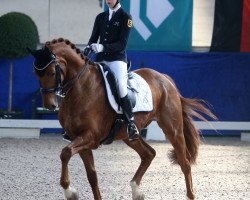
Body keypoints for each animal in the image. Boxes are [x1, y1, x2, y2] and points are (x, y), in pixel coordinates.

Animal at [29, 38, 216, 199]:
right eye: (36, 74)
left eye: (51, 72)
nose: (50, 105)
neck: (80, 88)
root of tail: (164, 78)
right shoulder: (79, 139)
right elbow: (91, 176)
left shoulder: (90, 137)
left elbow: (65, 153)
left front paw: (70, 192)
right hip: (129, 135)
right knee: (149, 154)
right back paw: (136, 191)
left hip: (172, 129)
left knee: (184, 163)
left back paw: (190, 195)